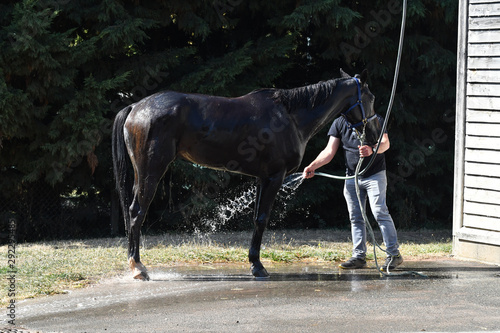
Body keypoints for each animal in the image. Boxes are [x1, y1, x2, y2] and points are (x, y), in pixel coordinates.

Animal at [112, 68, 378, 278]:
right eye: (371, 97)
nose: (375, 135)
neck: (289, 116)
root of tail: (136, 107)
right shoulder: (274, 177)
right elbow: (262, 219)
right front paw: (258, 267)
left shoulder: (262, 179)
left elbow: (256, 219)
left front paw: (254, 263)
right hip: (151, 171)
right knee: (137, 212)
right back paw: (138, 268)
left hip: (141, 173)